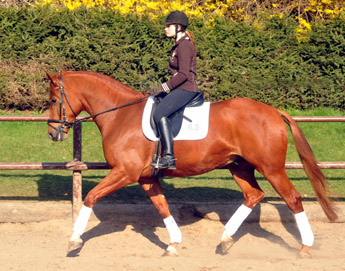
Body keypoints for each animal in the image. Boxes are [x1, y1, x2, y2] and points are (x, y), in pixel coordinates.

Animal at [45, 70, 336, 260]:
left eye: (53, 100)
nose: (52, 133)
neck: (121, 115)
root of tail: (274, 111)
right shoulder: (146, 177)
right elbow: (162, 207)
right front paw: (173, 244)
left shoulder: (125, 172)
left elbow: (91, 197)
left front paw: (74, 241)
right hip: (239, 167)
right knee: (254, 195)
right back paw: (225, 240)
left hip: (271, 168)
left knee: (292, 198)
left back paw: (305, 248)